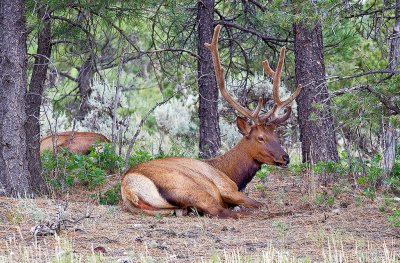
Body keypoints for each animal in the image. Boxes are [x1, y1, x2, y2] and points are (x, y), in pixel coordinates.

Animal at [120, 24, 302, 220]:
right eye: (260, 137)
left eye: (276, 136)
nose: (285, 157)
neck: (229, 171)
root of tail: (130, 187)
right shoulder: (227, 188)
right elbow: (259, 203)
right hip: (192, 187)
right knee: (222, 211)